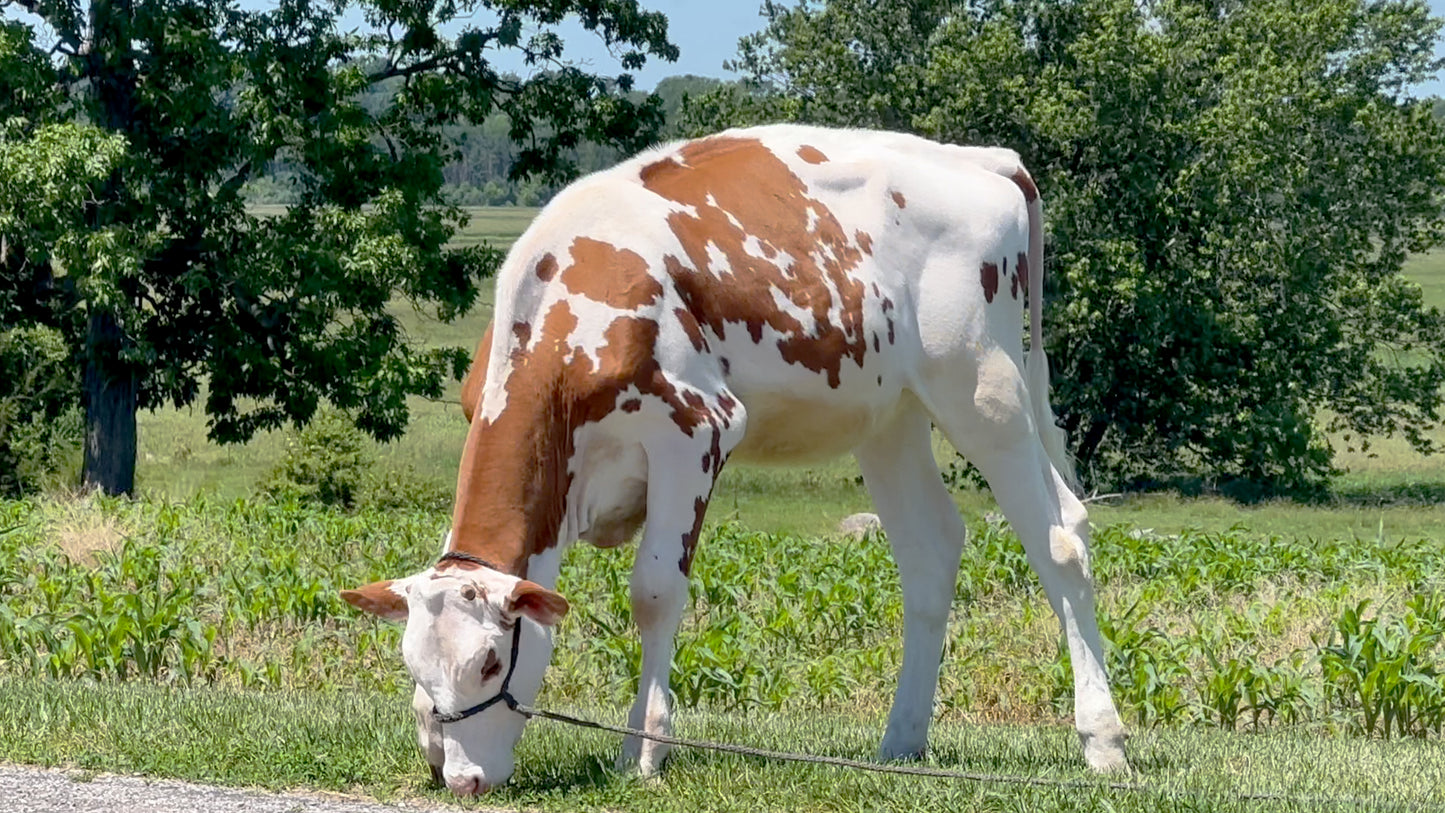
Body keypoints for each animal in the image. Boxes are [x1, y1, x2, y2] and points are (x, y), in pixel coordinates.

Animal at [341, 124, 1129, 795]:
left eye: (488, 661)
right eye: (414, 665)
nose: (462, 779)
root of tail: (980, 159)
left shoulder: (697, 428)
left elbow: (654, 592)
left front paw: (644, 750)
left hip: (982, 385)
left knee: (1059, 537)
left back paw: (1103, 742)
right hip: (891, 414)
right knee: (930, 551)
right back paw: (900, 741)